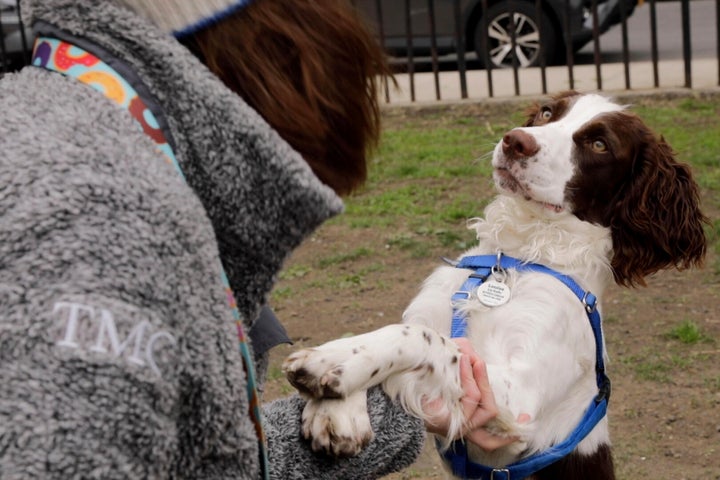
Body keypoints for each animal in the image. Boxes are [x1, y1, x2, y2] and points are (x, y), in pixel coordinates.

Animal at [282, 92, 708, 478]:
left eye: (600, 144)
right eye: (548, 113)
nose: (515, 140)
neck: (516, 258)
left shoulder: (519, 403)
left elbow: (426, 340)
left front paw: (331, 362)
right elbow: (401, 333)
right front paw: (338, 407)